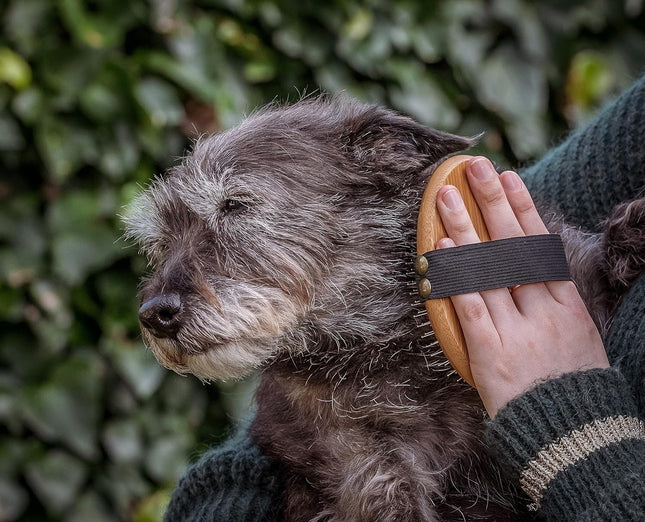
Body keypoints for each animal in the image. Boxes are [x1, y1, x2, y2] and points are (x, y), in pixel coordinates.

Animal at [123, 97, 640, 520]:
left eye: (235, 205)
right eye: (160, 241)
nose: (154, 314)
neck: (390, 337)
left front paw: (634, 230)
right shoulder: (369, 469)